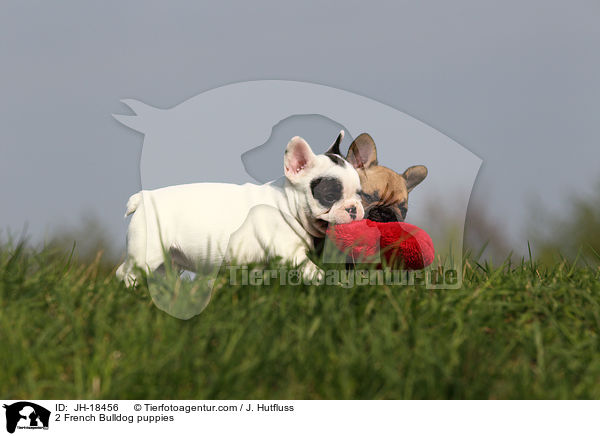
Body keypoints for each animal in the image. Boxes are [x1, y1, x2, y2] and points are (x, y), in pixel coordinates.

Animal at [115, 130, 364, 286]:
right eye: (330, 196)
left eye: (360, 194)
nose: (354, 208)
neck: (287, 204)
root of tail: (142, 199)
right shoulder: (290, 253)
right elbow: (310, 269)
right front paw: (329, 281)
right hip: (148, 251)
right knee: (129, 273)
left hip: (166, 260)